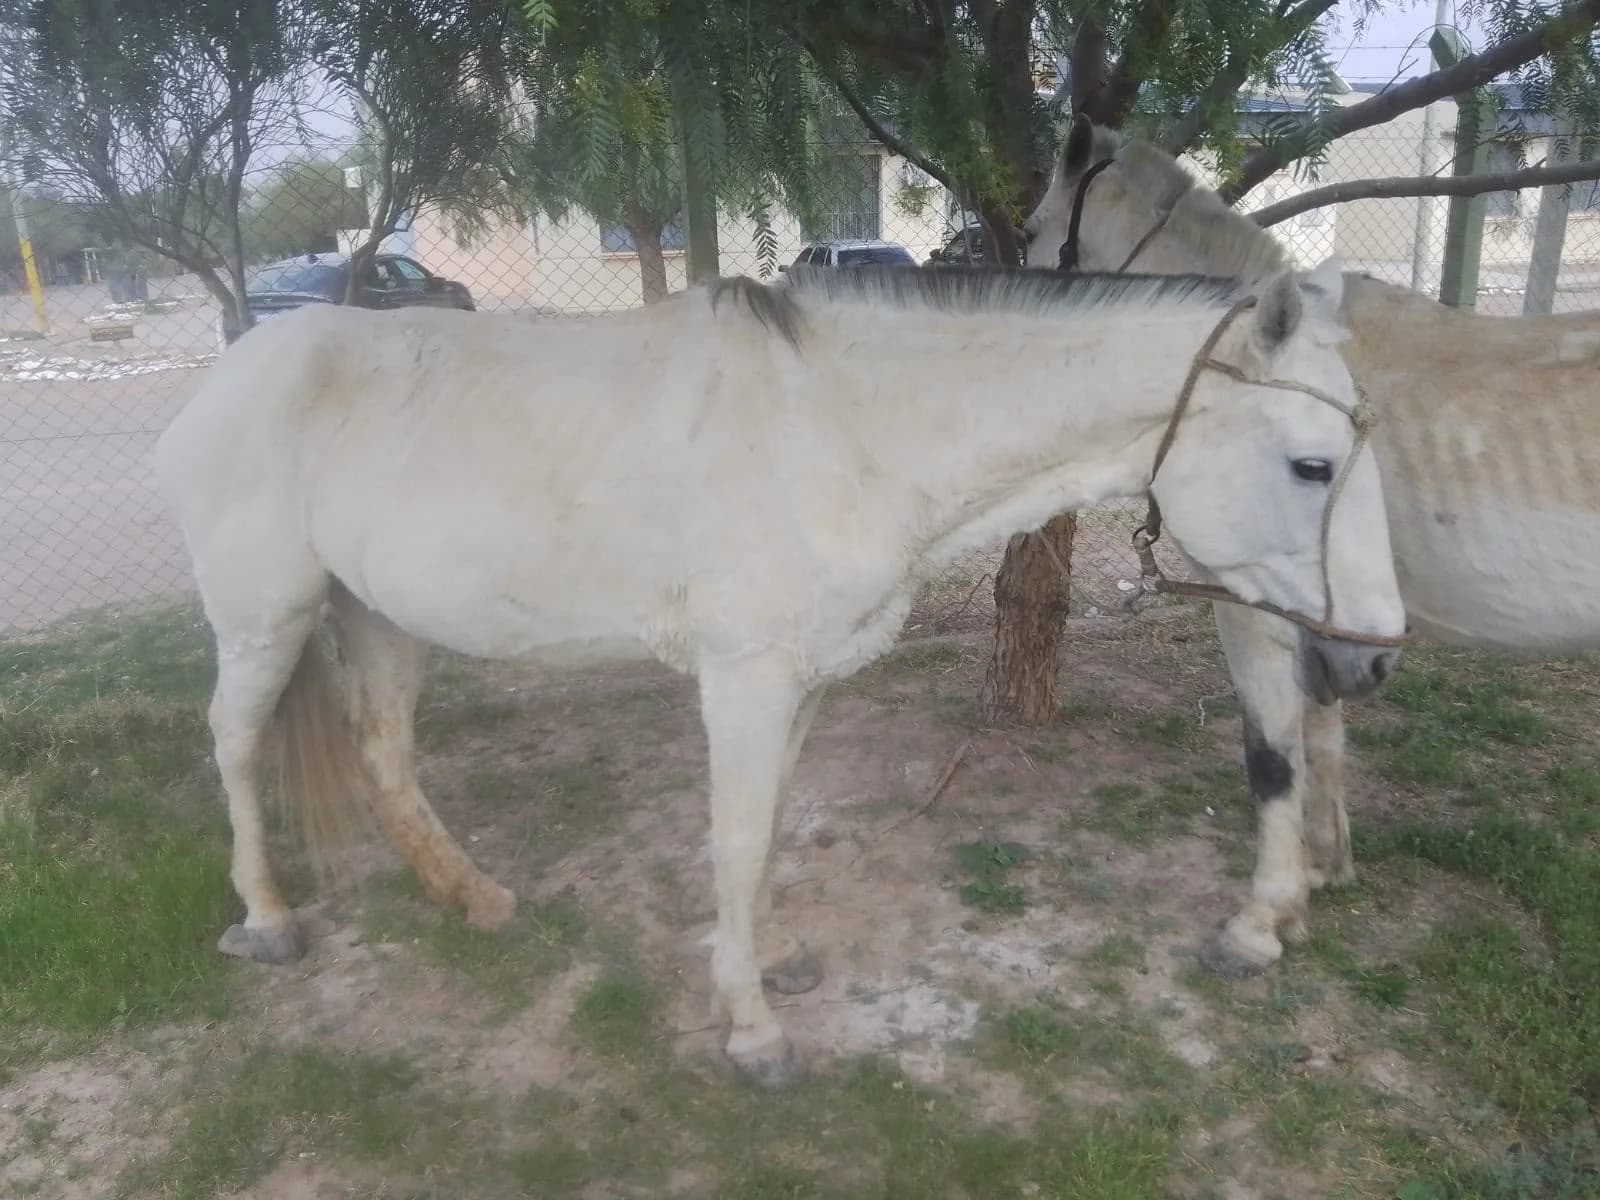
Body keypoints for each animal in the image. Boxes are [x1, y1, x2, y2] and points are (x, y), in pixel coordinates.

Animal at [156, 261, 1405, 1084]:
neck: (845, 433)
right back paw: (267, 919)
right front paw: (752, 1033)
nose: (1371, 659)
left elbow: (767, 837)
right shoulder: (744, 677)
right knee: (234, 745)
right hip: (267, 617)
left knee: (383, 754)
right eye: (1312, 465)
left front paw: (765, 966)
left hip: (375, 617)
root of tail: (234, 365)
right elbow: (737, 838)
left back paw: (472, 898)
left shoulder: (802, 681)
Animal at [1024, 114, 1600, 978]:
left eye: (1032, 232)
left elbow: (1272, 756)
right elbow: (1323, 737)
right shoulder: (1328, 621)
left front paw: (1260, 921)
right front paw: (1320, 873)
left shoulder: (1254, 607)